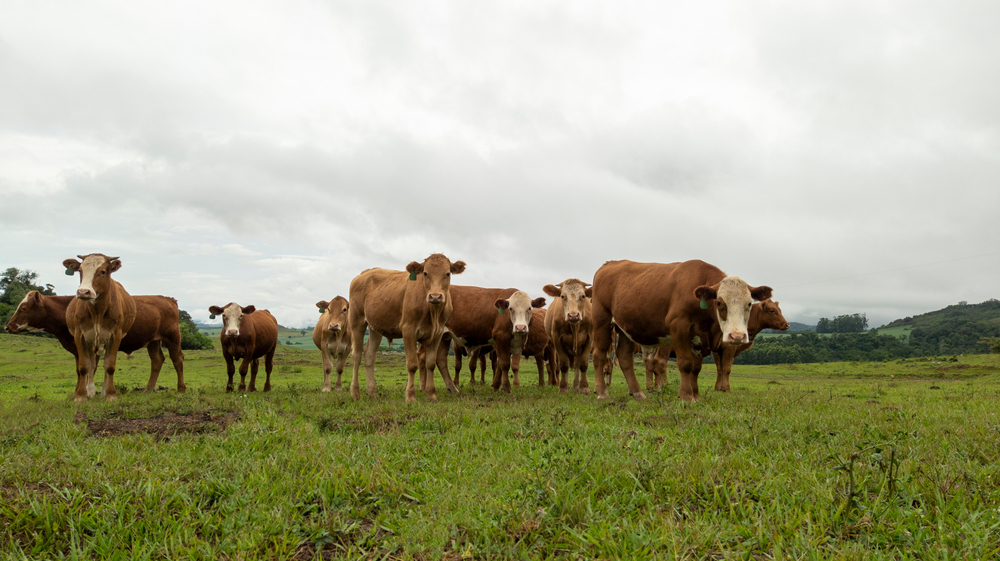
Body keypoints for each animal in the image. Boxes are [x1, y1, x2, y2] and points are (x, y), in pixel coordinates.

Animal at [5, 290, 188, 392]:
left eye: (23, 308)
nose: (8, 326)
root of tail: (168, 299)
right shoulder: (78, 348)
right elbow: (81, 370)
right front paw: (79, 392)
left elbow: (89, 370)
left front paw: (87, 392)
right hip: (153, 340)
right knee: (157, 360)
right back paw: (147, 390)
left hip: (172, 336)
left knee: (177, 359)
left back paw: (181, 388)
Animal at [62, 254, 137, 402]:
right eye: (80, 271)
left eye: (102, 271)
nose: (83, 292)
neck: (97, 312)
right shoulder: (80, 335)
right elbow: (84, 366)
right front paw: (81, 396)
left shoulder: (115, 335)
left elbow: (109, 366)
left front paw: (111, 394)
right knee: (92, 365)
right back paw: (90, 391)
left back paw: (102, 391)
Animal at [348, 254, 464, 402]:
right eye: (425, 273)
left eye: (448, 273)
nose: (435, 296)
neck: (432, 312)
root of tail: (364, 273)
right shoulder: (408, 331)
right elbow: (412, 364)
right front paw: (410, 396)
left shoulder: (438, 333)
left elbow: (430, 364)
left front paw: (431, 395)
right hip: (357, 322)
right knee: (356, 355)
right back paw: (355, 393)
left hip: (375, 327)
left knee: (369, 354)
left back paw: (372, 393)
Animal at [592, 260, 772, 400]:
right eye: (720, 303)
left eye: (749, 303)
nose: (737, 337)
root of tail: (609, 264)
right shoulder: (679, 328)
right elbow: (685, 364)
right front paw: (686, 396)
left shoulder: (700, 337)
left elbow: (696, 368)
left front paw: (696, 395)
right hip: (602, 321)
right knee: (598, 355)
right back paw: (602, 392)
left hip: (625, 328)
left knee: (624, 357)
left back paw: (638, 393)